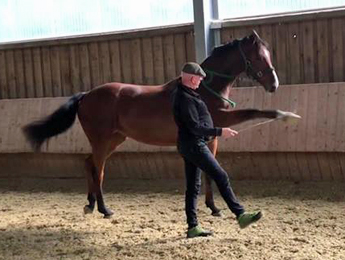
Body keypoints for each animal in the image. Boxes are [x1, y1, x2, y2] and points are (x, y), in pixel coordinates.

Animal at [24, 29, 282, 218]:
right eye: (259, 56)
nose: (274, 85)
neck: (202, 89)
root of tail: (87, 95)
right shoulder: (219, 122)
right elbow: (251, 113)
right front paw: (280, 113)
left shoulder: (210, 137)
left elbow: (209, 172)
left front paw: (214, 208)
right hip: (102, 141)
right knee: (98, 170)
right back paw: (105, 209)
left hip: (113, 139)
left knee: (89, 164)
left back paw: (90, 204)